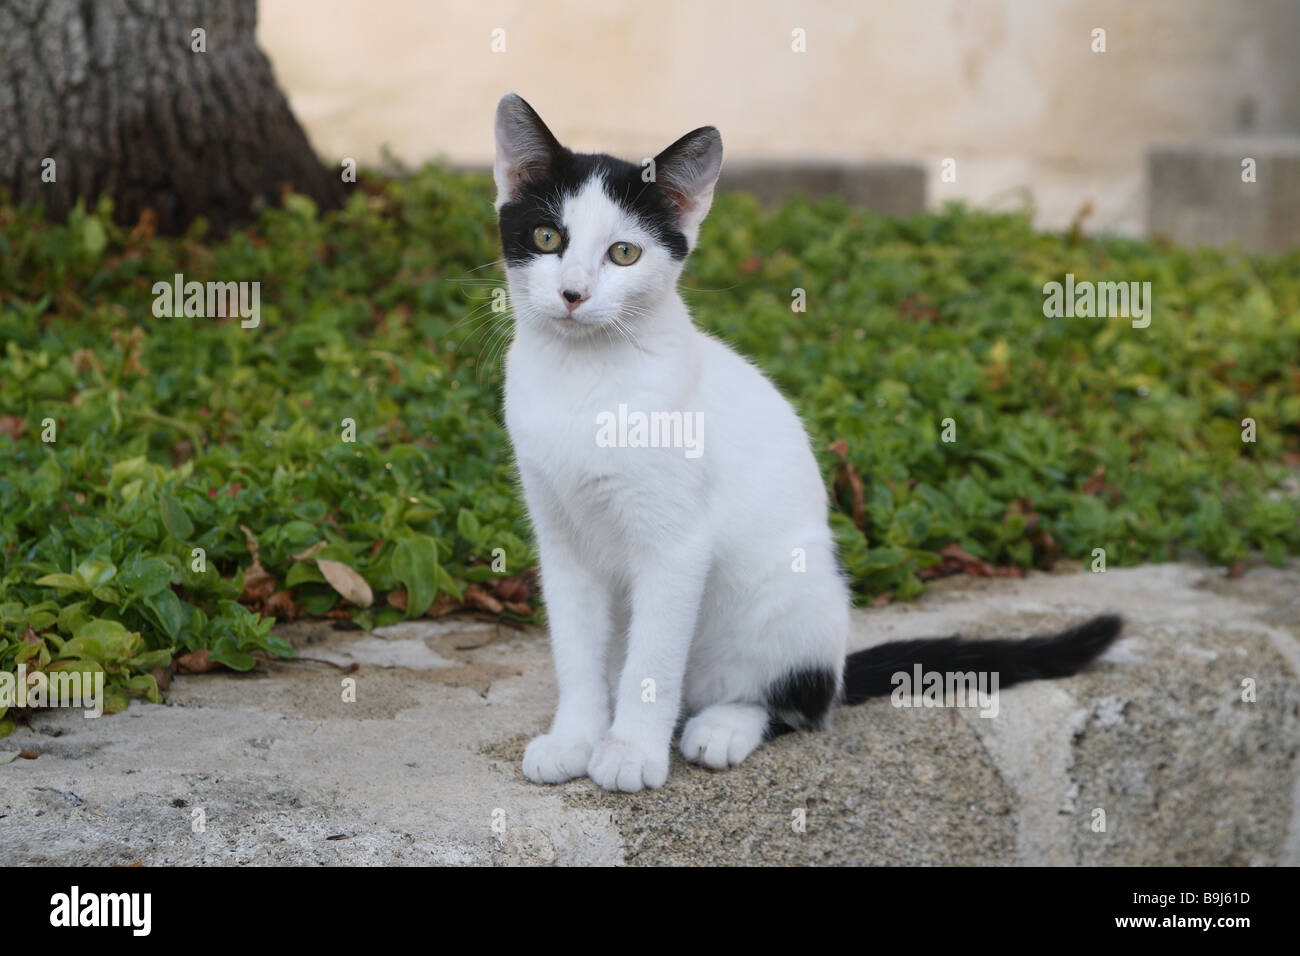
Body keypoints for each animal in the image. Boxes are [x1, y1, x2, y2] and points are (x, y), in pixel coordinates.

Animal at [491, 95, 1123, 790]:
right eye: (548, 239)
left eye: (624, 253)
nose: (573, 294)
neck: (583, 379)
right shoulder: (560, 539)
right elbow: (576, 651)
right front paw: (576, 738)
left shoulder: (676, 547)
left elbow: (652, 663)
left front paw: (630, 751)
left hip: (791, 594)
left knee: (799, 699)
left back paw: (725, 725)